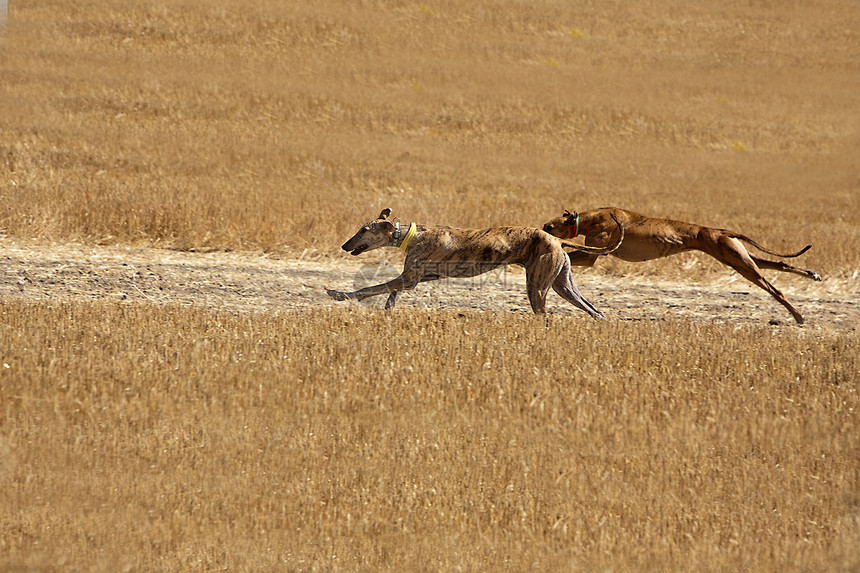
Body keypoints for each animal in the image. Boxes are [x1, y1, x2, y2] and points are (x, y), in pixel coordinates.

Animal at [326, 209, 620, 316]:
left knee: (544, 316)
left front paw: (338, 294)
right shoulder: (420, 277)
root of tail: (557, 241)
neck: (413, 235)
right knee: (595, 310)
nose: (344, 245)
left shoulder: (410, 277)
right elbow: (391, 291)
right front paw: (388, 309)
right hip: (563, 285)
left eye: (364, 230)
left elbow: (370, 288)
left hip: (537, 287)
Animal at [544, 206, 820, 324]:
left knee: (776, 289)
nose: (541, 227)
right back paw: (811, 274)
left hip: (740, 263)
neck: (592, 217)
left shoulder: (592, 255)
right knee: (780, 264)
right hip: (740, 257)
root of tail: (720, 231)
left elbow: (571, 251)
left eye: (549, 226)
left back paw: (798, 315)